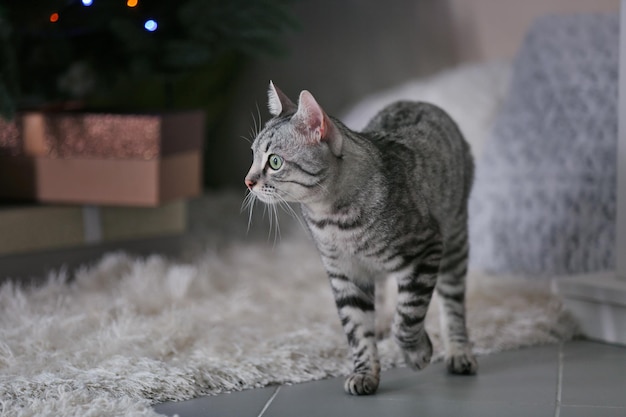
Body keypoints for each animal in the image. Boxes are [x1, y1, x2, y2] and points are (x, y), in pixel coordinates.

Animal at [244, 80, 478, 394]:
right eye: (253, 156)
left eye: (275, 162)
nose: (248, 181)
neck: (333, 221)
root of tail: (417, 100)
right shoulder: (344, 274)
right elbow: (357, 330)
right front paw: (365, 372)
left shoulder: (426, 248)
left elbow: (408, 316)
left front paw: (416, 353)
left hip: (454, 237)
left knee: (451, 302)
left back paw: (459, 351)